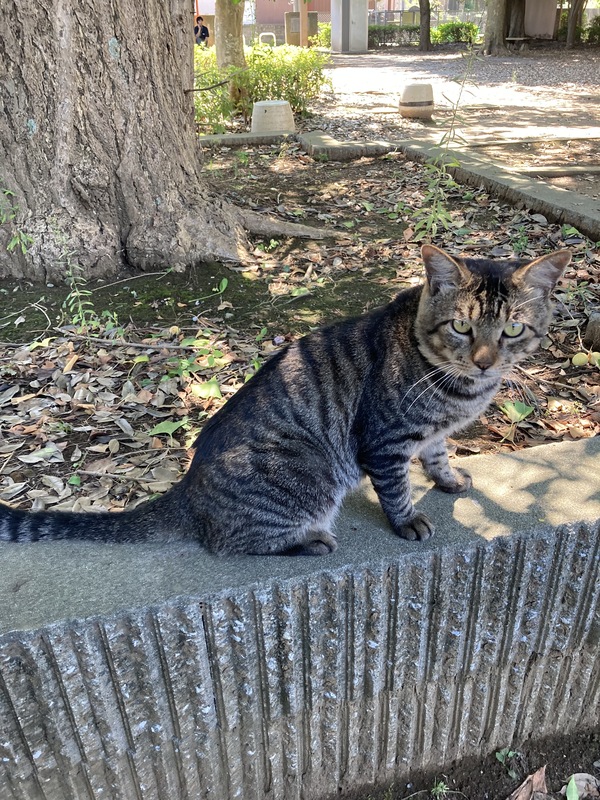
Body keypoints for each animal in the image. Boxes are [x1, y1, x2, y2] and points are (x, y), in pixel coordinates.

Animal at [0, 245, 570, 556]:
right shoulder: (384, 441)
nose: (485, 362)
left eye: (512, 329)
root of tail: (186, 489)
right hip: (308, 475)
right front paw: (407, 519)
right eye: (461, 327)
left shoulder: (429, 435)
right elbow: (396, 489)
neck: (460, 390)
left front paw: (449, 480)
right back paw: (311, 540)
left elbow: (437, 456)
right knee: (230, 542)